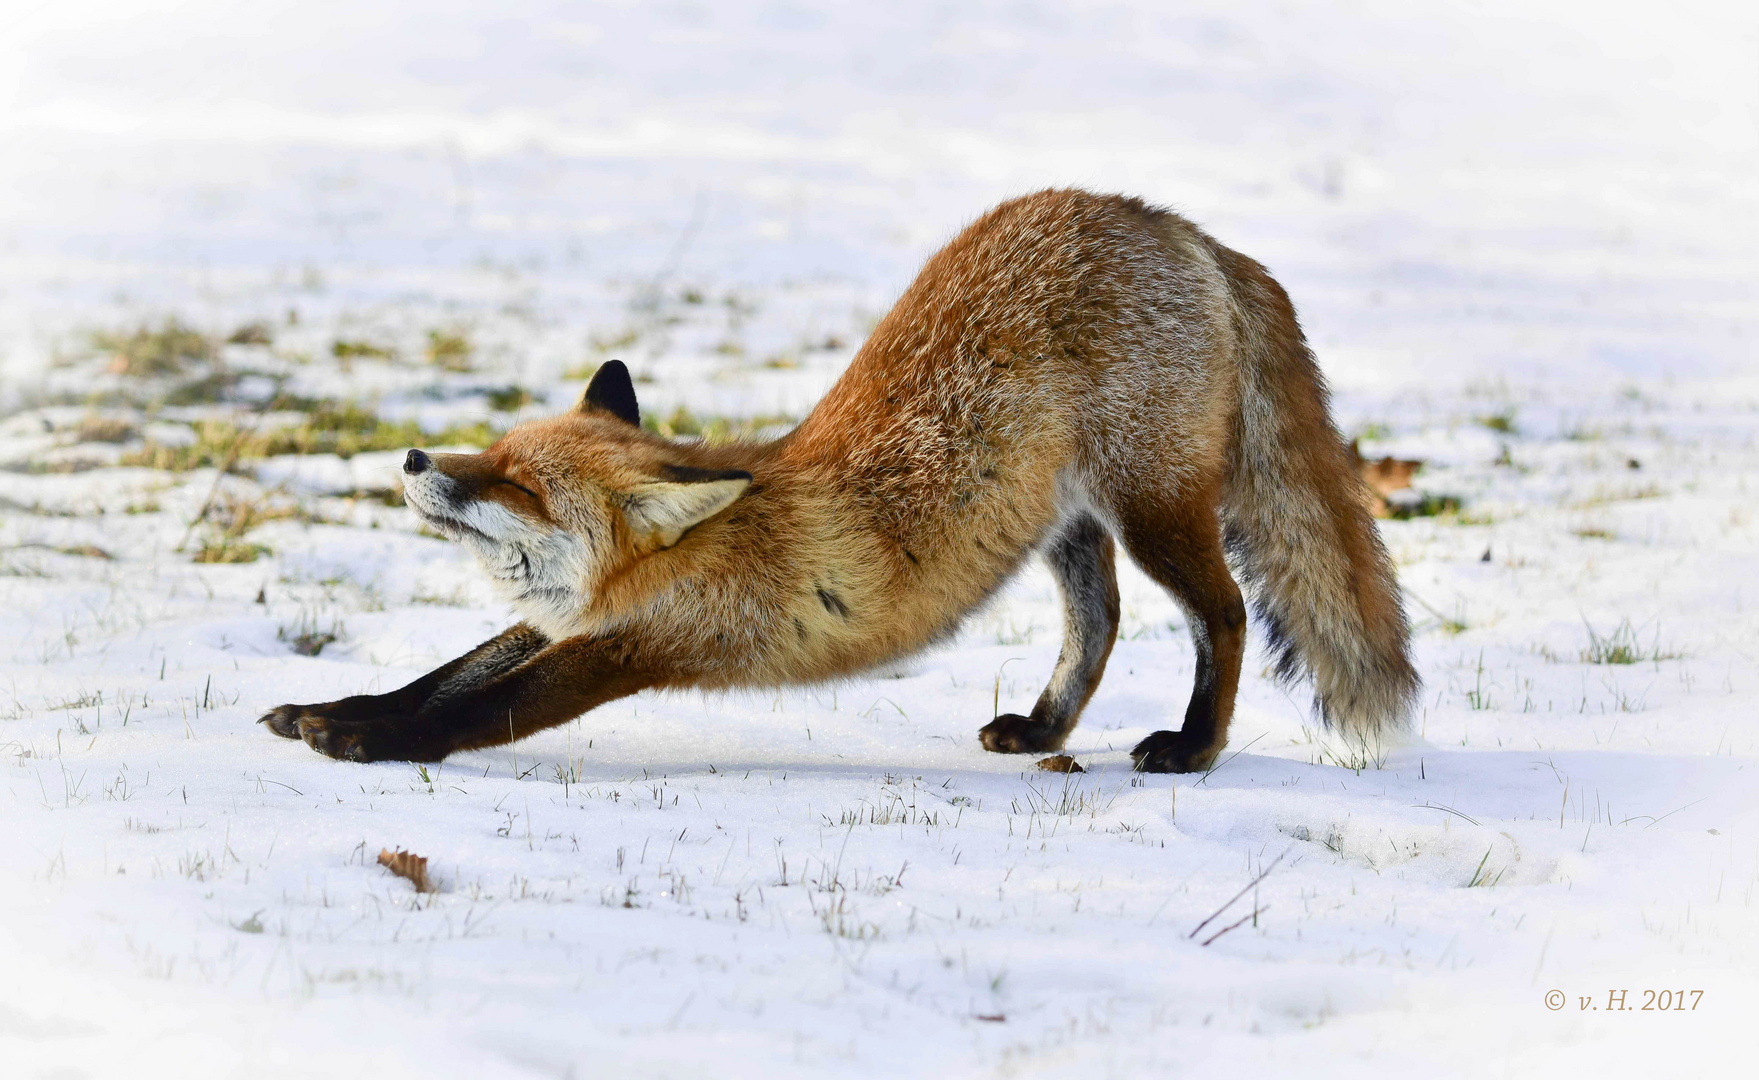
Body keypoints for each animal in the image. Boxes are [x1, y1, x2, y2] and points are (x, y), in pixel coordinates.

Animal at [260, 190, 1414, 773]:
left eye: (524, 487)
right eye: (491, 452)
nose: (415, 460)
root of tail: (1178, 225)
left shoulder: (637, 644)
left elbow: (479, 708)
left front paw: (365, 744)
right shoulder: (565, 618)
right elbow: (435, 676)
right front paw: (329, 708)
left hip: (1153, 509)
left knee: (1222, 614)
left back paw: (1194, 747)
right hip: (1067, 526)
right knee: (1100, 623)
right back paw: (1043, 733)